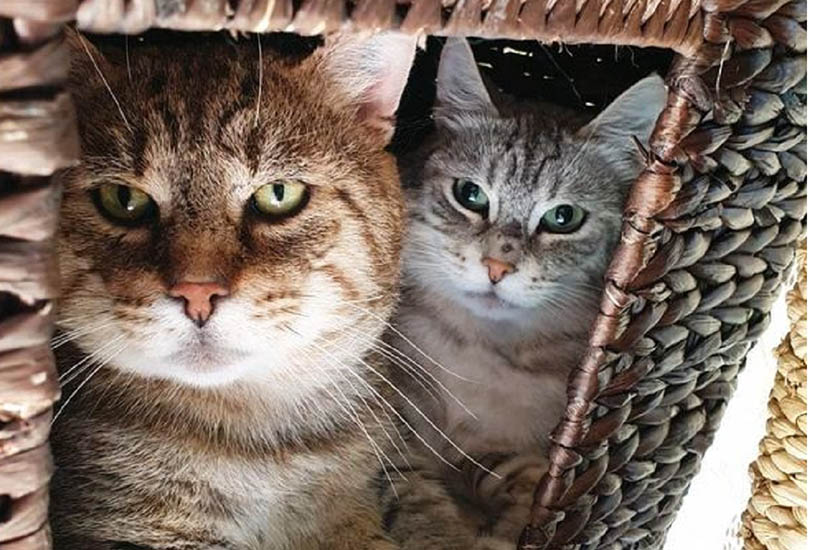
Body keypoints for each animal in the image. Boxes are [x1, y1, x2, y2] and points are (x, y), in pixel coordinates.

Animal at [388, 38, 668, 548]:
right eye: (470, 194)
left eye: (563, 218)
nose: (497, 267)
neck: (480, 348)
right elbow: (410, 489)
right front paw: (441, 532)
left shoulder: (503, 448)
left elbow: (523, 481)